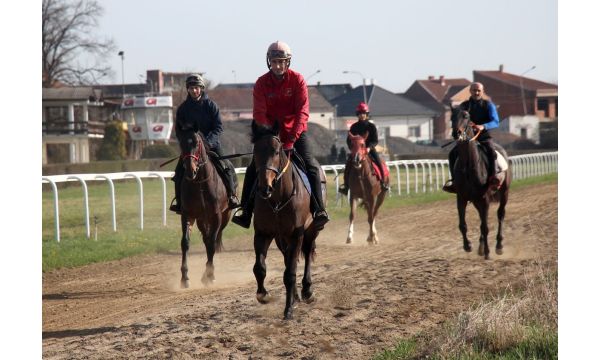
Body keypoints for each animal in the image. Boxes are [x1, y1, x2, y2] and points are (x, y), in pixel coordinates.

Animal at [178, 131, 234, 286]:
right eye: (180, 142)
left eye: (197, 143)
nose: (190, 170)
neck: (199, 183)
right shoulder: (188, 214)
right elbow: (185, 242)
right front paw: (184, 277)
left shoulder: (216, 216)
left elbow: (212, 244)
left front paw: (210, 275)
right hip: (201, 219)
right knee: (206, 238)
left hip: (225, 216)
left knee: (212, 241)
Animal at [250, 122, 324, 320]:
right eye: (255, 151)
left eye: (276, 151)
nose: (265, 187)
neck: (278, 199)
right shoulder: (263, 233)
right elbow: (259, 268)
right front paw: (264, 295)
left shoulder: (296, 234)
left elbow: (290, 273)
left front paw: (288, 309)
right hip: (281, 238)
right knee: (288, 258)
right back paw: (297, 295)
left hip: (311, 230)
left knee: (307, 255)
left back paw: (307, 291)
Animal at [450, 108, 510, 260]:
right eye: (452, 117)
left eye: (466, 116)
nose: (456, 133)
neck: (468, 166)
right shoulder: (461, 198)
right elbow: (463, 225)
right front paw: (468, 246)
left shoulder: (485, 199)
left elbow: (485, 227)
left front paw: (488, 252)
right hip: (476, 201)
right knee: (482, 219)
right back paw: (481, 247)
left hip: (504, 192)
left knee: (500, 214)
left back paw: (498, 246)